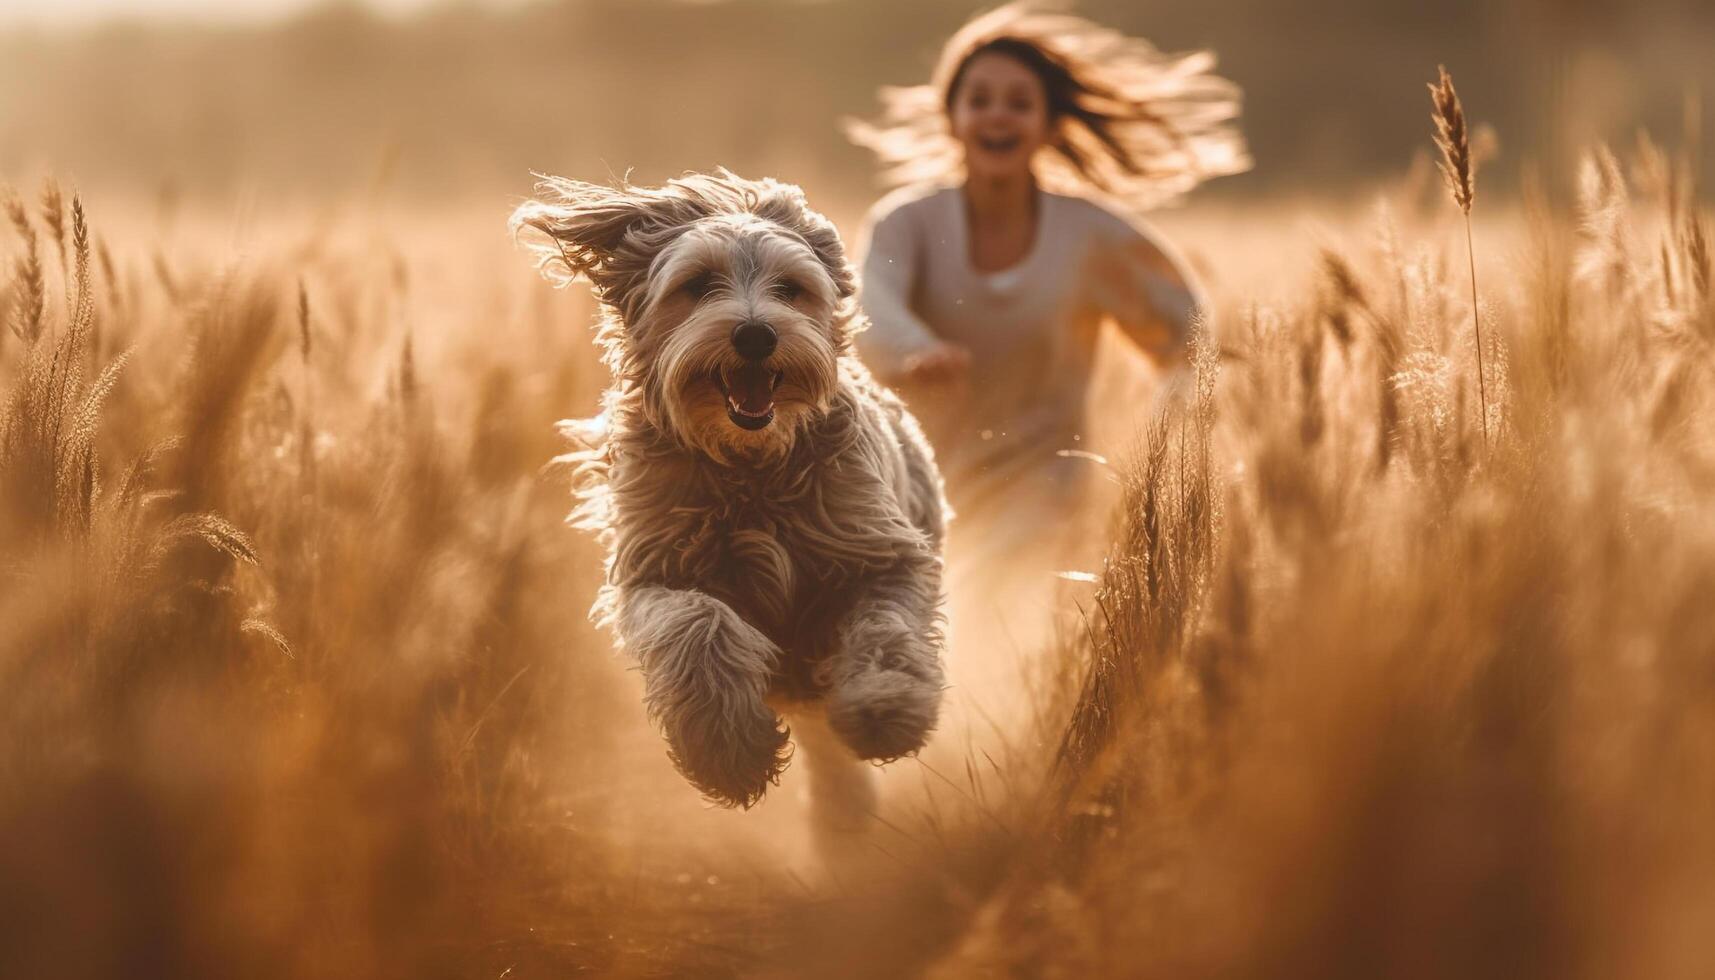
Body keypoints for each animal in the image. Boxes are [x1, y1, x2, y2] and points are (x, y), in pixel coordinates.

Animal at [507, 170, 953, 813]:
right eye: (697, 285)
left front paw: (885, 709)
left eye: (791, 288)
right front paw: (729, 751)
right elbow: (700, 625)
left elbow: (884, 628)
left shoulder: (881, 550)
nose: (756, 334)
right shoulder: (657, 571)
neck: (750, 471)